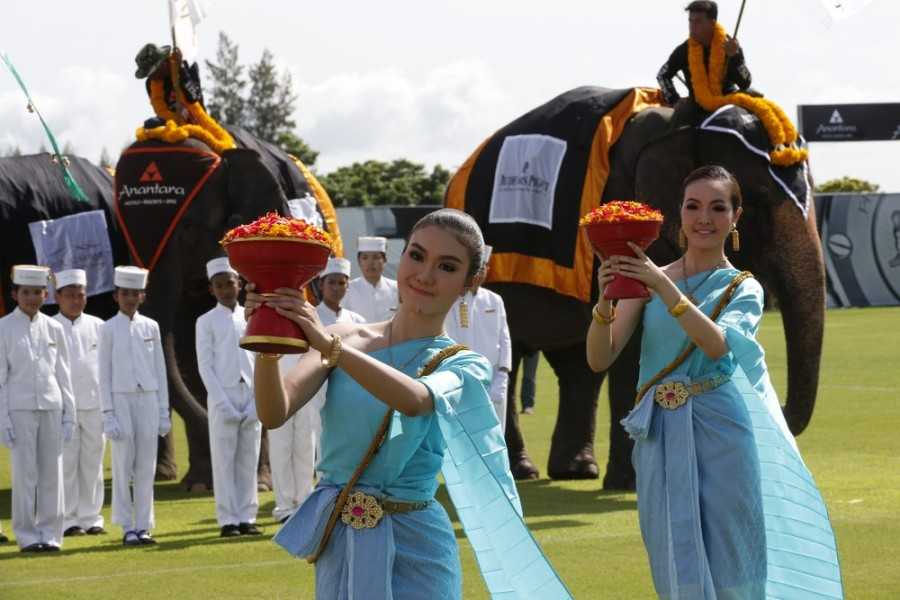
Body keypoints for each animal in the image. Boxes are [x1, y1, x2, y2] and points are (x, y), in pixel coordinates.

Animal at [442, 86, 824, 490]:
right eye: (758, 197)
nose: (776, 405)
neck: (678, 119)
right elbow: (630, 345)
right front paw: (629, 483)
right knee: (516, 359)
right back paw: (523, 471)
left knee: (578, 364)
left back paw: (576, 470)